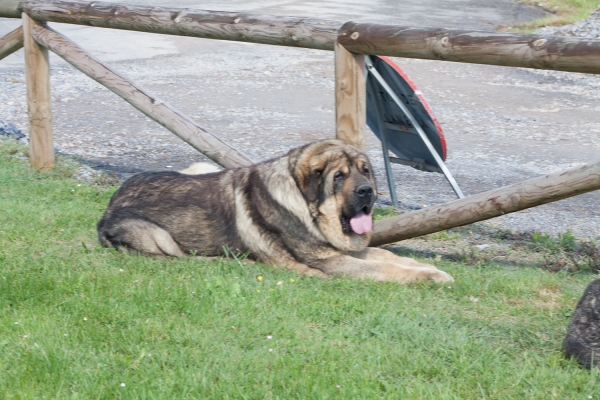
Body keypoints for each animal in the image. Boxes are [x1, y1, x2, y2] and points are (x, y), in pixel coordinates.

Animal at [98, 139, 452, 282]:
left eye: (365, 171)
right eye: (339, 176)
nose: (368, 191)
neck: (305, 204)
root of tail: (106, 209)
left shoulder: (338, 249)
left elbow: (388, 255)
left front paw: (430, 268)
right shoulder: (329, 260)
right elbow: (383, 266)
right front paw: (429, 276)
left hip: (197, 167)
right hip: (160, 237)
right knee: (183, 257)